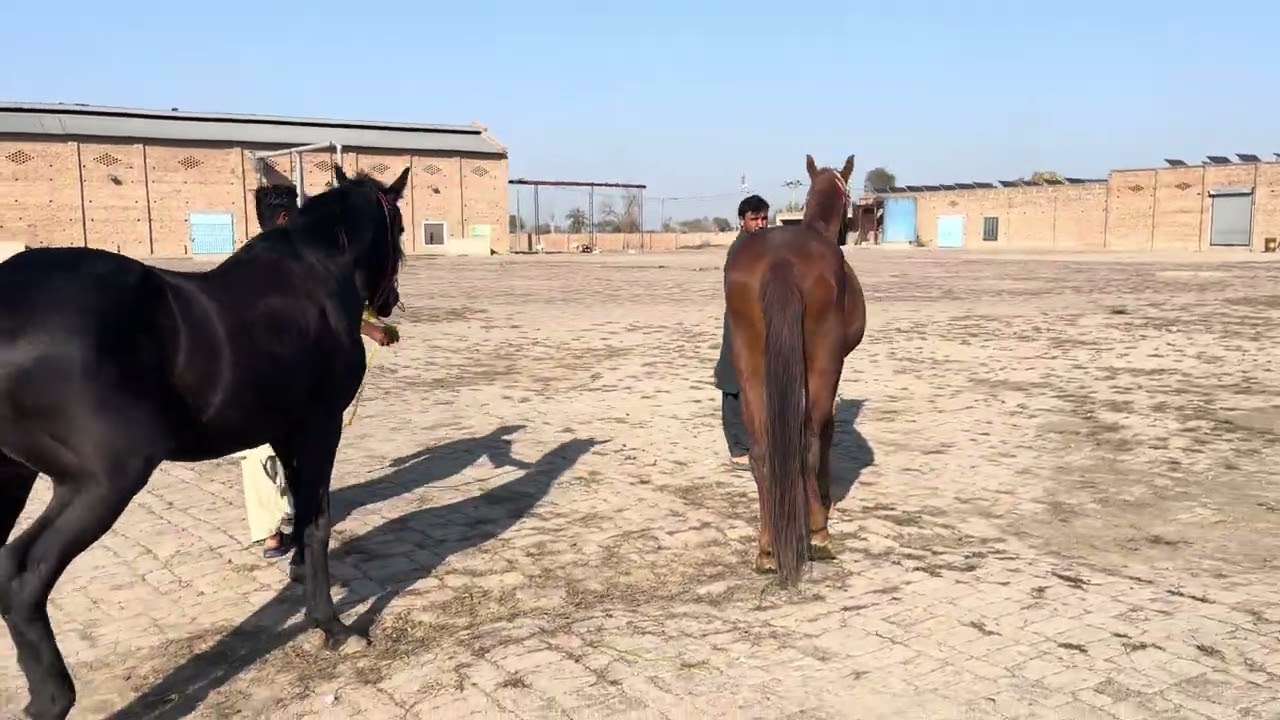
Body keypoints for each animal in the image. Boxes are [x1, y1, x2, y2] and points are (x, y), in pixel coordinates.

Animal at [0, 162, 409, 720]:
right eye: (400, 227)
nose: (389, 302)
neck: (315, 278)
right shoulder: (321, 426)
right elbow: (318, 521)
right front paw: (331, 625)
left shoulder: (284, 432)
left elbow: (299, 511)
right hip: (100, 483)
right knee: (23, 575)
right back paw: (52, 697)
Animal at [723, 153, 866, 588]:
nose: (851, 229)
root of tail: (781, 261)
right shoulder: (834, 363)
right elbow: (827, 431)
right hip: (822, 362)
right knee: (807, 440)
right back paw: (818, 532)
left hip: (750, 362)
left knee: (762, 451)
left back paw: (767, 549)